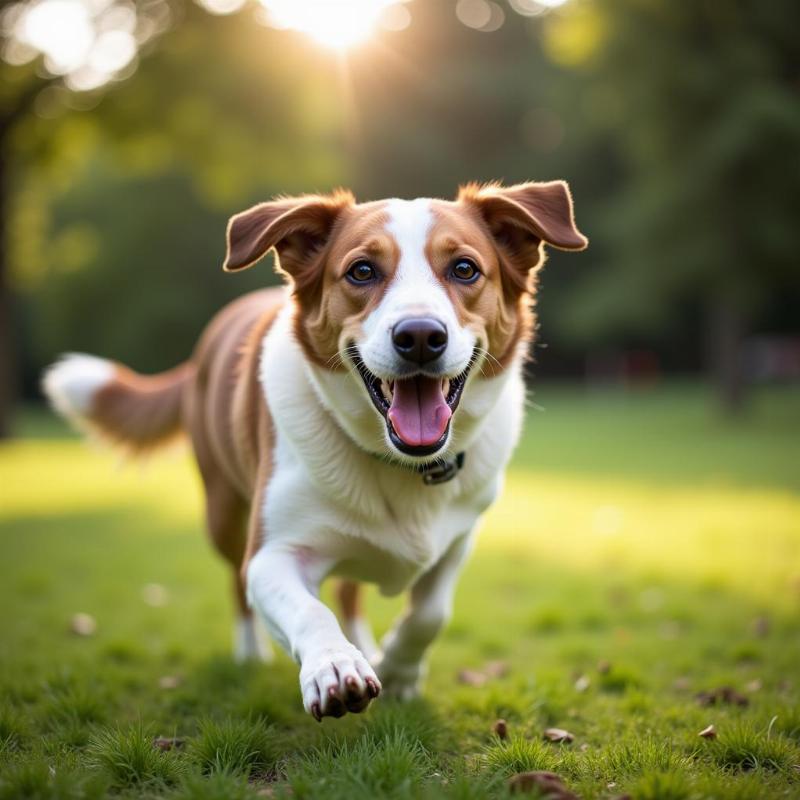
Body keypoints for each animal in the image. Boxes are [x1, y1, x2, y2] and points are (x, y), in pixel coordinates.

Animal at [43, 181, 588, 720]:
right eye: (362, 271)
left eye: (464, 268)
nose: (419, 336)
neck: (401, 462)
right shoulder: (272, 555)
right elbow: (307, 608)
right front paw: (335, 666)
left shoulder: (458, 540)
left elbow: (430, 613)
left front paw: (398, 671)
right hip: (223, 513)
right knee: (238, 583)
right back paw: (250, 654)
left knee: (350, 589)